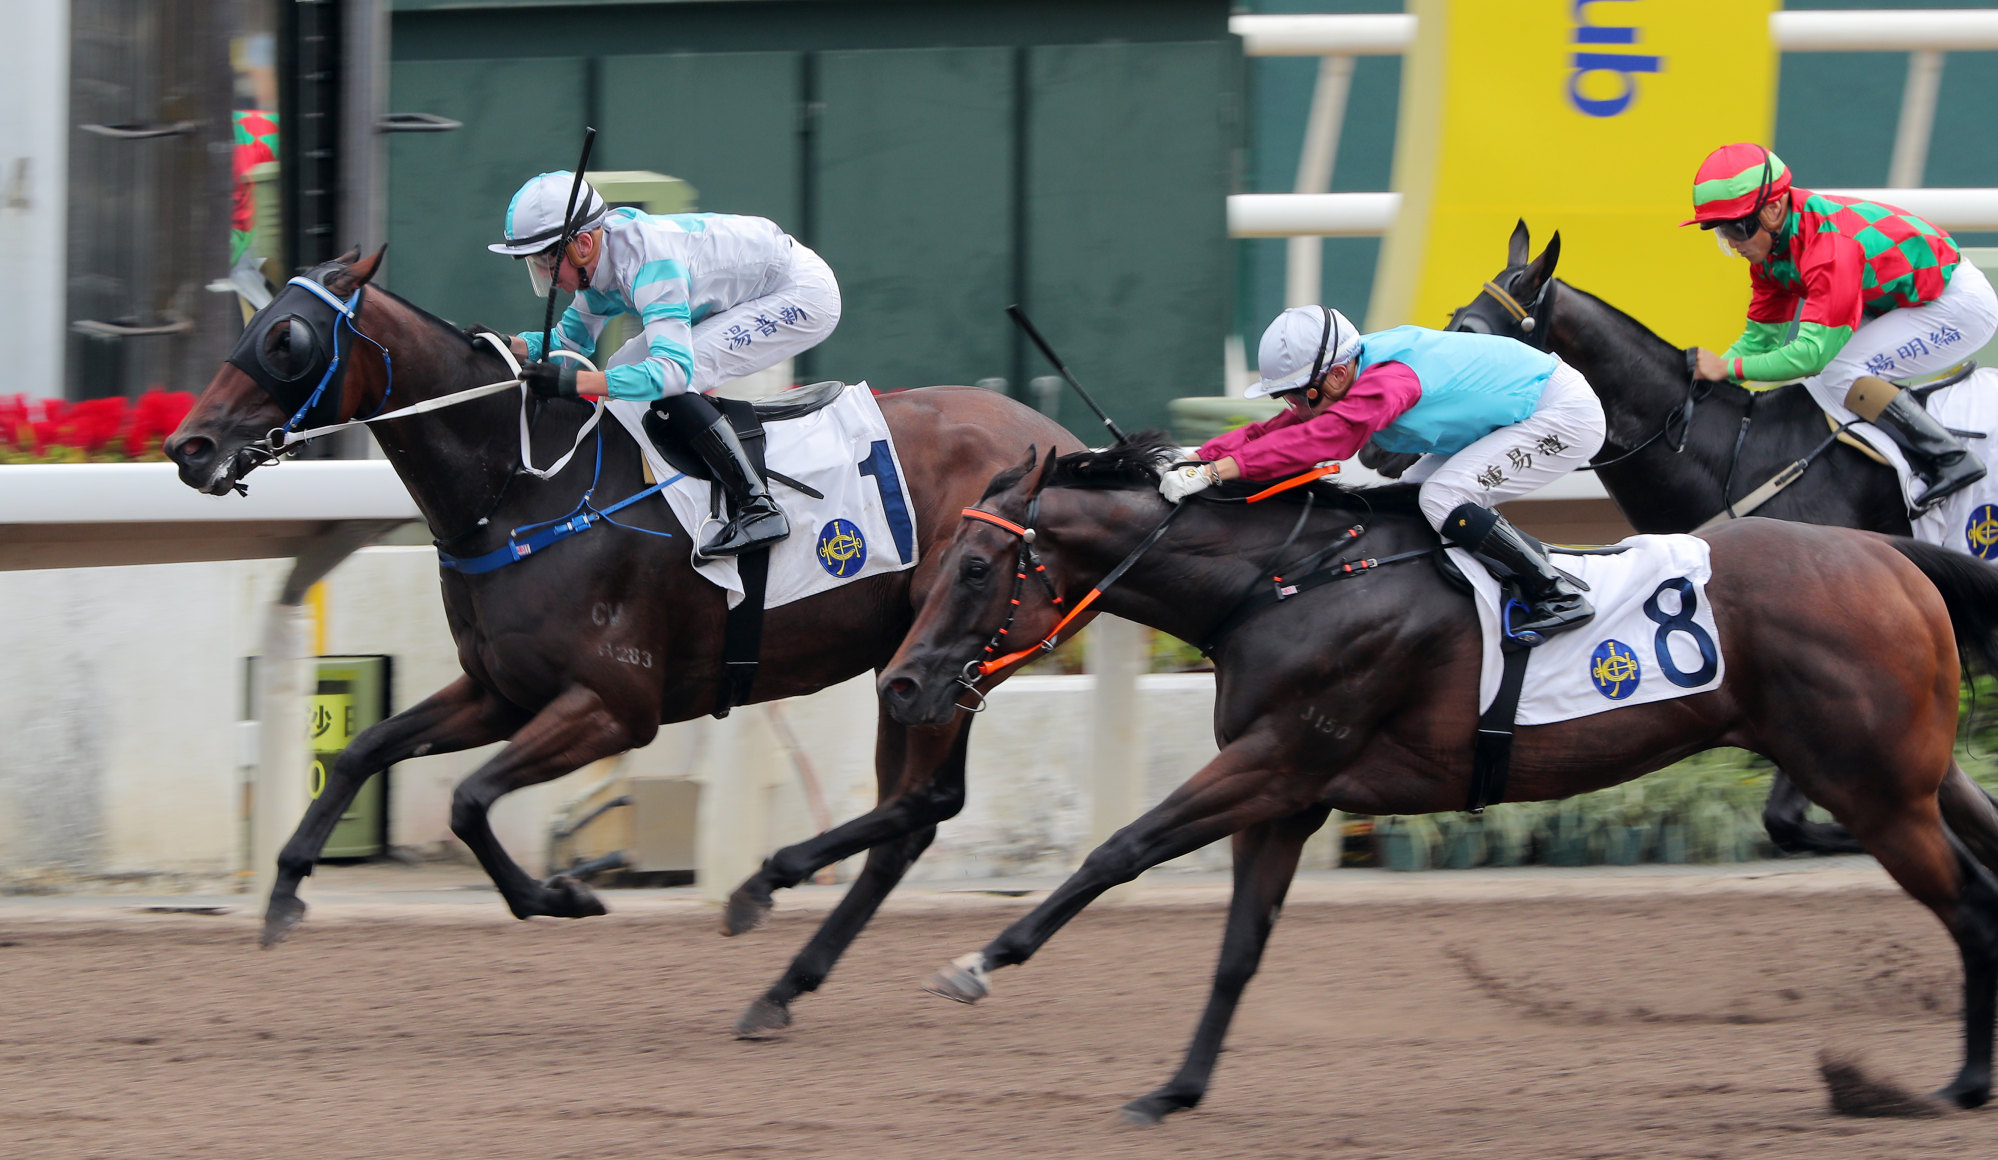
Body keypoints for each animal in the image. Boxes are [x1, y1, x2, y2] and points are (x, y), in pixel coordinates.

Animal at [163, 250, 1086, 1030]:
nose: (187, 446)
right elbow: (364, 752)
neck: (526, 489)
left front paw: (567, 892)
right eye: (252, 319)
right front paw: (285, 891)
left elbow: (468, 801)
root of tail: (1064, 444)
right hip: (911, 669)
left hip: (952, 657)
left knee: (925, 803)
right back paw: (783, 986)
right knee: (910, 821)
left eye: (286, 339)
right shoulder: (500, 692)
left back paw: (763, 895)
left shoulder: (613, 706)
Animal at [879, 437, 1998, 1118]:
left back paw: (1962, 1081)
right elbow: (1238, 948)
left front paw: (981, 958)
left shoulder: (1280, 756)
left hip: (1875, 788)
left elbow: (1120, 848)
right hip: (1918, 774)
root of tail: (1889, 556)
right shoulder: (1293, 796)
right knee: (1983, 871)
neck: (1285, 583)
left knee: (1970, 909)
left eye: (973, 568)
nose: (901, 683)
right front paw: (1176, 1089)